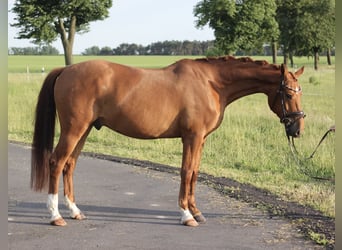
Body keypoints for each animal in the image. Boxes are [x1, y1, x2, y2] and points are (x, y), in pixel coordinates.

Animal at [31, 56, 304, 227]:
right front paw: (186, 215)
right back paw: (55, 215)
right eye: (288, 93)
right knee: (56, 162)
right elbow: (185, 171)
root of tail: (66, 70)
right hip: (74, 129)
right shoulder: (191, 137)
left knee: (70, 165)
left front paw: (197, 211)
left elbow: (195, 173)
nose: (297, 128)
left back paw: (75, 211)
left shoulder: (201, 140)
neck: (211, 83)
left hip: (84, 130)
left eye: (299, 92)